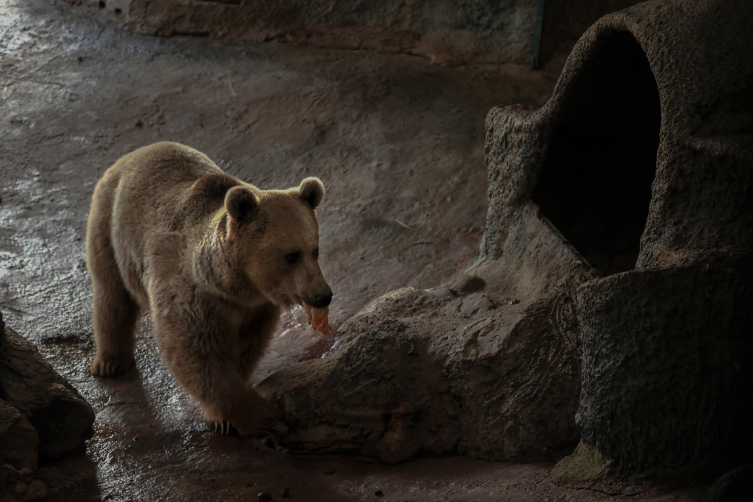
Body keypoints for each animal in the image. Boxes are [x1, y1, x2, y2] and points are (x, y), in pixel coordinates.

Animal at [83, 140, 330, 436]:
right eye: (292, 255)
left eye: (315, 251)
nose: (323, 295)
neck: (233, 286)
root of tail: (140, 150)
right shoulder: (189, 294)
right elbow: (196, 352)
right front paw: (264, 417)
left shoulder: (256, 309)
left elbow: (246, 347)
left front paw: (223, 416)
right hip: (109, 223)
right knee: (111, 294)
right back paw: (110, 362)